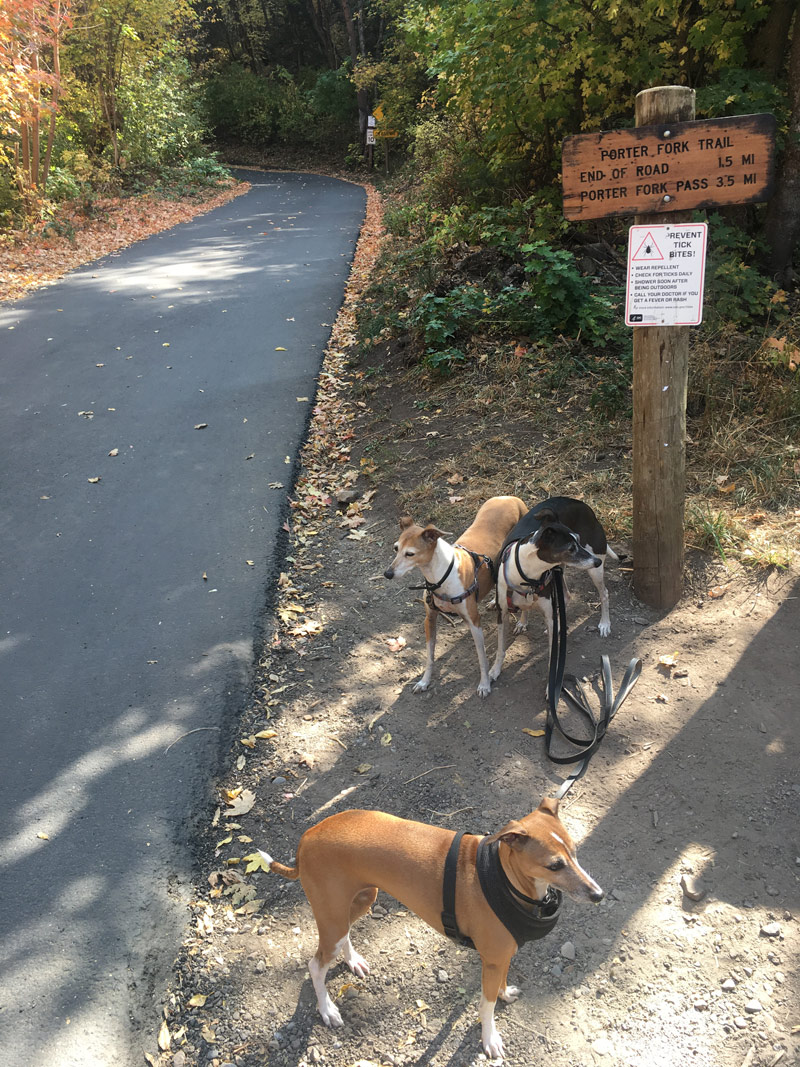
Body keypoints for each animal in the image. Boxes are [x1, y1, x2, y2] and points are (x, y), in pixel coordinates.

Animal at [260, 802, 605, 1058]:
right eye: (554, 865)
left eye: (575, 852)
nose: (598, 894)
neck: (504, 879)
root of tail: (307, 837)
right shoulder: (492, 959)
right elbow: (486, 1005)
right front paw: (490, 1038)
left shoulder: (502, 955)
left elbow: (500, 987)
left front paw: (505, 993)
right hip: (332, 916)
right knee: (315, 966)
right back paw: (327, 1009)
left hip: (358, 902)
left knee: (344, 938)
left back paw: (353, 961)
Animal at [386, 497, 529, 699]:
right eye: (396, 548)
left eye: (410, 554)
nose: (387, 574)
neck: (440, 576)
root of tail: (509, 497)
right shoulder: (430, 619)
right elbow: (429, 657)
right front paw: (424, 682)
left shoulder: (474, 622)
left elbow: (482, 658)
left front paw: (484, 684)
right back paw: (495, 602)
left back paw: (522, 622)